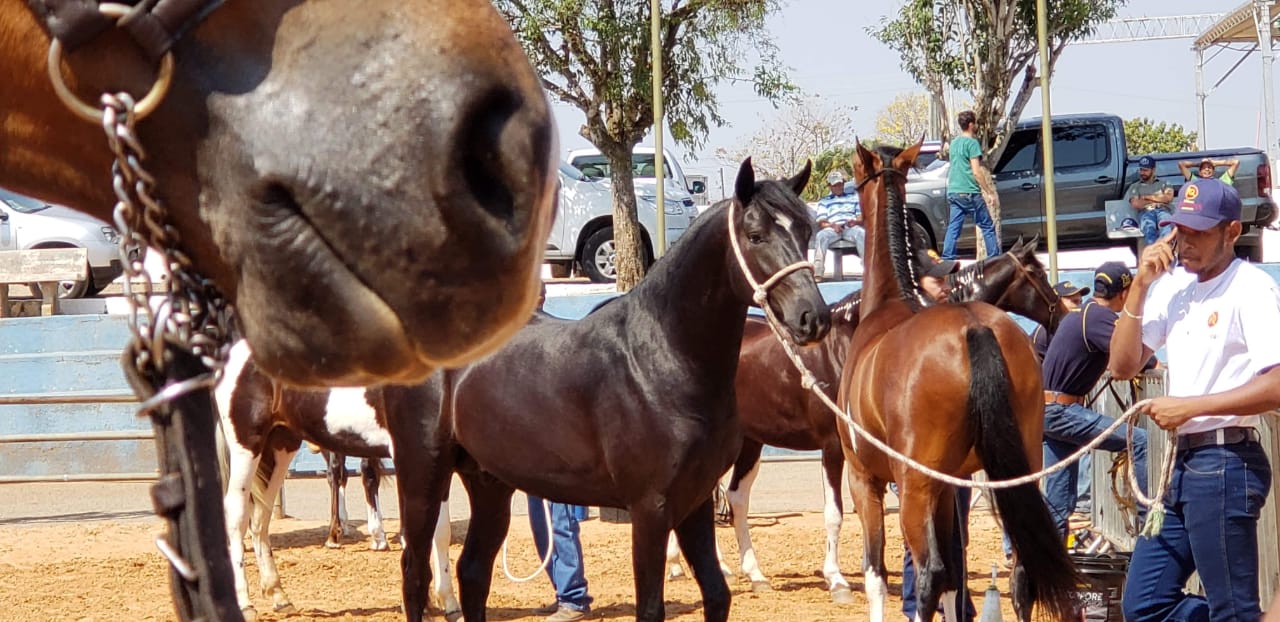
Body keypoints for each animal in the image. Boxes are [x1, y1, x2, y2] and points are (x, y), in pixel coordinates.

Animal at [215, 342, 460, 619]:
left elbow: (441, 531)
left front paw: (448, 602)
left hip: (280, 445)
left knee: (260, 519)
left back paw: (279, 596)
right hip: (247, 446)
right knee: (237, 516)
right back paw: (245, 604)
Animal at [384, 156, 834, 622]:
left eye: (806, 230)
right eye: (755, 234)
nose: (812, 318)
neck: (663, 360)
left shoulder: (694, 501)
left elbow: (717, 594)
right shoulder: (650, 508)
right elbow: (651, 607)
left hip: (489, 481)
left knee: (472, 571)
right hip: (422, 474)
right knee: (414, 573)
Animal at [675, 232, 1064, 598]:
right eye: (1038, 273)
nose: (1061, 314)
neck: (847, 345)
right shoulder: (834, 447)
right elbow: (835, 514)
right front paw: (836, 580)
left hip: (750, 441)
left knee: (736, 497)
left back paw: (750, 574)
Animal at [839, 142, 1080, 622]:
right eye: (1037, 273)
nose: (1062, 314)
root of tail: (974, 326)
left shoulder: (864, 478)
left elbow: (878, 574)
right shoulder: (951, 486)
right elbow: (957, 575)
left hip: (914, 488)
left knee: (929, 573)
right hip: (1017, 473)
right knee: (1021, 570)